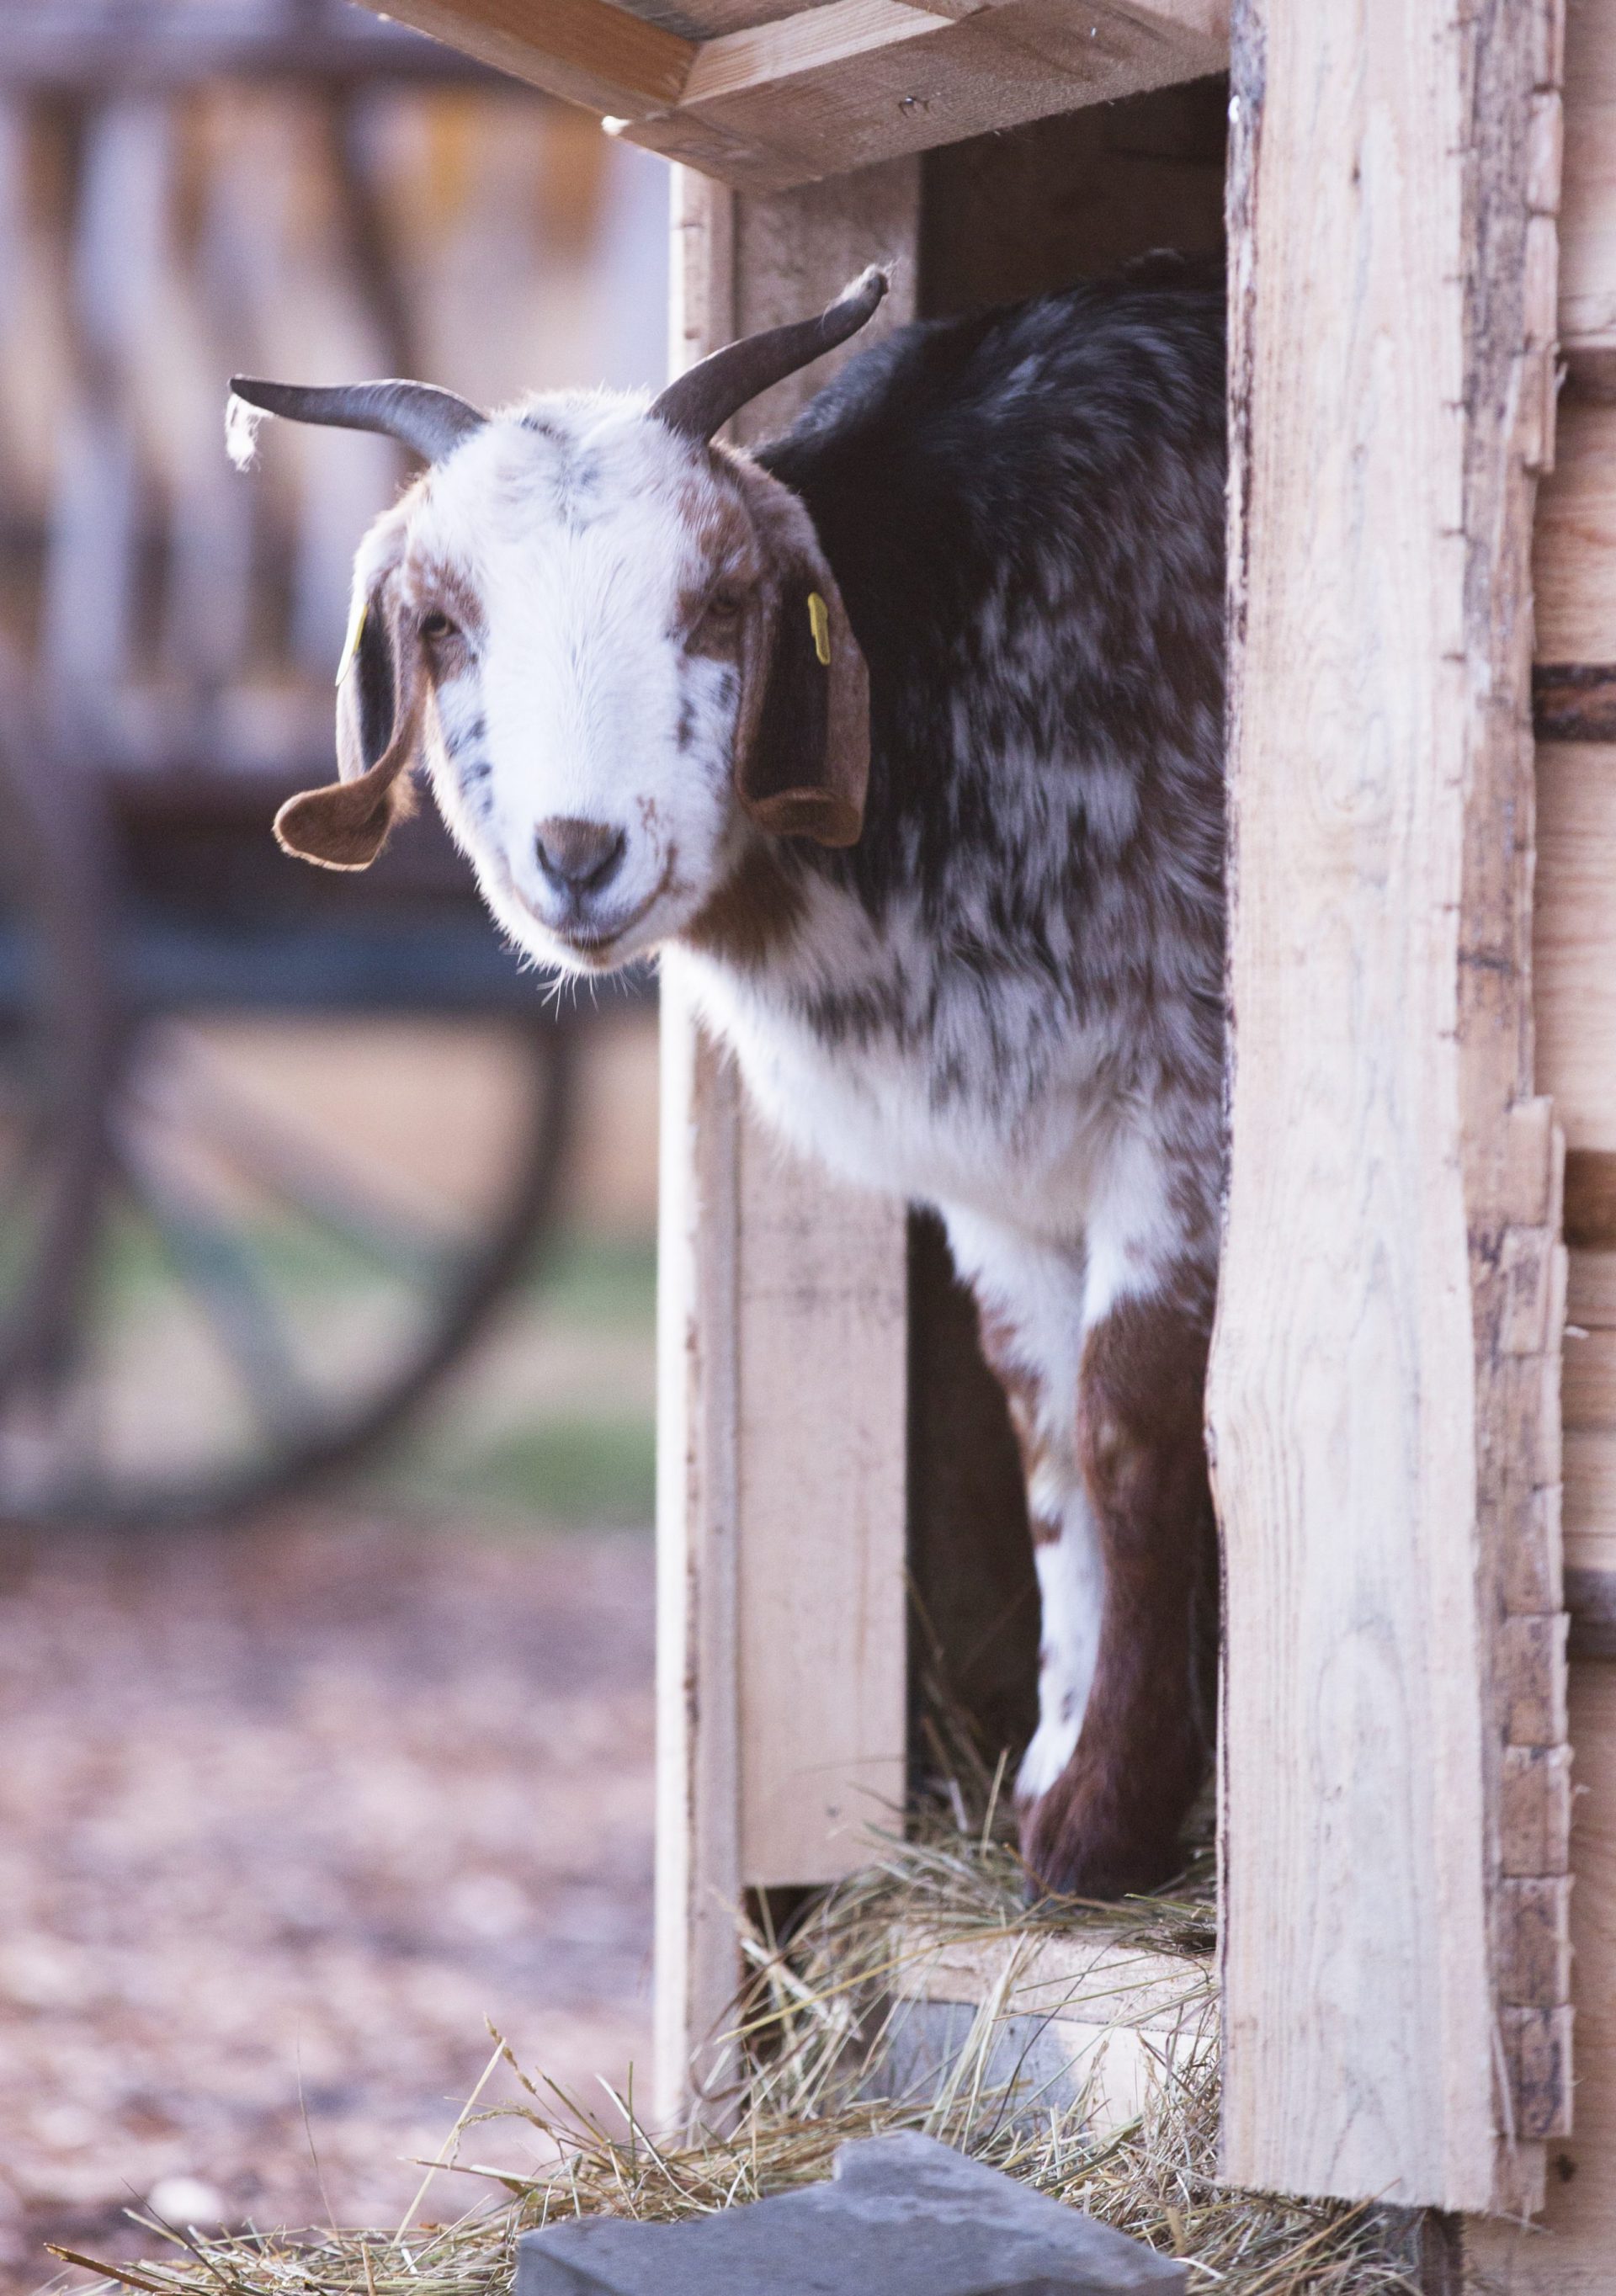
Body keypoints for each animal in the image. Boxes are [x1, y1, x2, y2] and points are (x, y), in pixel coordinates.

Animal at [228, 258, 1227, 1900]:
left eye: (717, 603)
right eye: (440, 624)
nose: (578, 853)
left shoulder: (1186, 1093)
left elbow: (1132, 1425)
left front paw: (1106, 1824)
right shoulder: (1000, 1158)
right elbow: (1042, 1431)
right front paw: (1052, 1762)